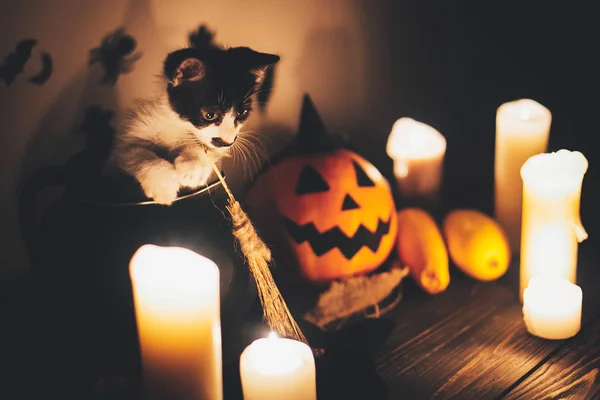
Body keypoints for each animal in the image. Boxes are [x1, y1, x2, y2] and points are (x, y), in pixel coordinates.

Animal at [109, 45, 278, 205]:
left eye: (241, 113)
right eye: (210, 115)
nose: (227, 142)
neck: (179, 125)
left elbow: (207, 150)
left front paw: (193, 168)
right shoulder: (127, 139)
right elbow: (134, 151)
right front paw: (164, 185)